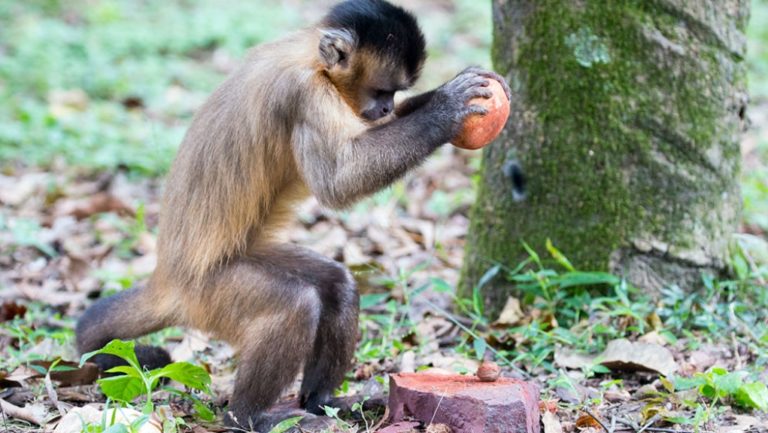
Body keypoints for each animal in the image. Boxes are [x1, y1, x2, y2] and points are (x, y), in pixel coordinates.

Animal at [76, 0, 510, 428]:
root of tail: (166, 278)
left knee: (336, 285)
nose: (386, 105)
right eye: (382, 90)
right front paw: (445, 109)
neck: (309, 58)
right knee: (295, 306)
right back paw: (248, 417)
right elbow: (339, 181)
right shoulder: (305, 93)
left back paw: (322, 402)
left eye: (395, 93)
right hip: (208, 296)